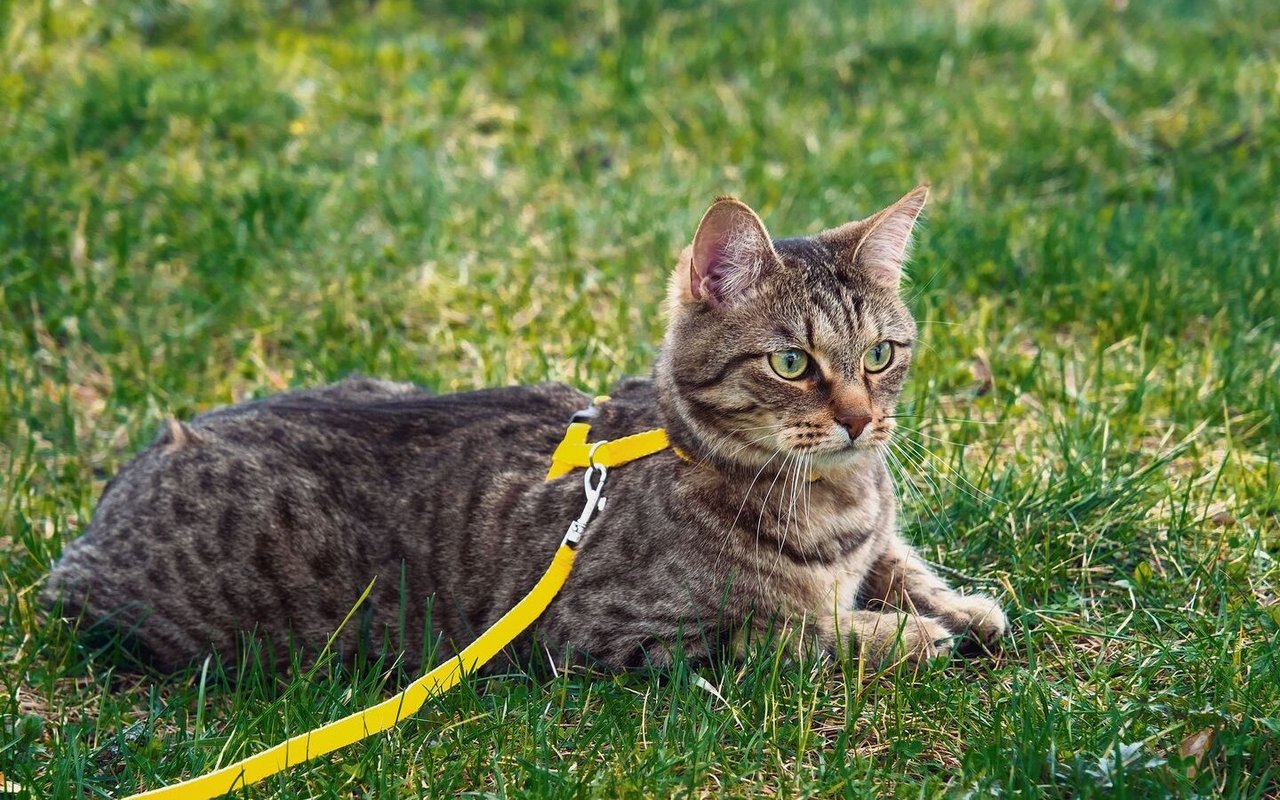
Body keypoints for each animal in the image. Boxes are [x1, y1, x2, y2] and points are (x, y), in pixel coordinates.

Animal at [42, 186, 1008, 675]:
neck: (834, 498)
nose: (859, 419)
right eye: (791, 363)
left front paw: (958, 604)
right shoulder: (618, 634)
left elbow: (902, 562)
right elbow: (785, 632)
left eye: (880, 354)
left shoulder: (874, 535)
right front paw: (902, 635)